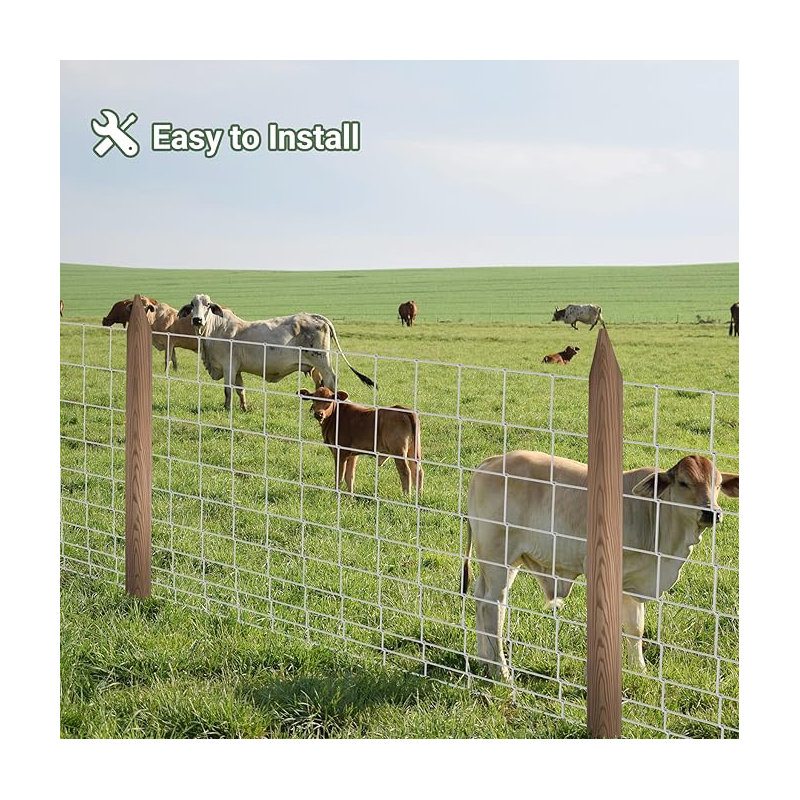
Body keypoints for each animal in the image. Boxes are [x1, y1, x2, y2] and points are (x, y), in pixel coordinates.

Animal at [178, 294, 375, 412]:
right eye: (192, 305)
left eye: (208, 305)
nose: (197, 320)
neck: (215, 330)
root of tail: (315, 316)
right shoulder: (237, 369)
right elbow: (240, 390)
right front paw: (244, 408)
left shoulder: (228, 366)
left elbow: (228, 390)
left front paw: (227, 408)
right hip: (314, 365)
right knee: (320, 384)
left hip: (322, 360)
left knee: (331, 380)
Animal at [462, 450, 738, 679]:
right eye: (683, 482)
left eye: (717, 484)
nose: (712, 513)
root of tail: (491, 461)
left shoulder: (633, 584)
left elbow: (636, 629)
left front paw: (639, 669)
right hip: (498, 557)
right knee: (493, 607)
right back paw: (501, 671)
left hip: (506, 562)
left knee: (480, 597)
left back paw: (484, 658)